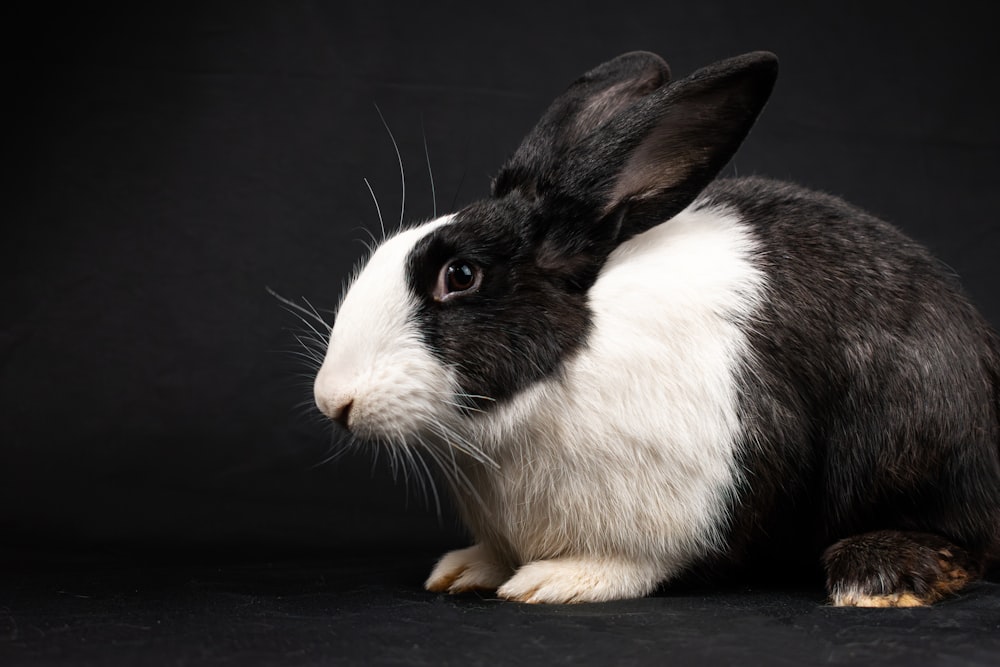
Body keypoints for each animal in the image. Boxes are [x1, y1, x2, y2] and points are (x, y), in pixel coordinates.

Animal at [312, 51, 1000, 604]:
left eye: (460, 275)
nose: (332, 401)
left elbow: (642, 560)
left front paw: (557, 581)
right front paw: (464, 570)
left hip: (913, 432)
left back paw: (875, 578)